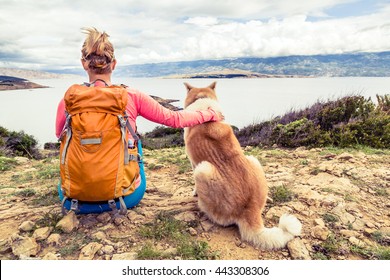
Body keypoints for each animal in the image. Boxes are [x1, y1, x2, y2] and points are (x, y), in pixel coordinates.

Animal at [183, 81, 302, 249]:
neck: (204, 103)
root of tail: (249, 210)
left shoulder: (194, 163)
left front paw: (194, 192)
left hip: (203, 169)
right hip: (253, 159)